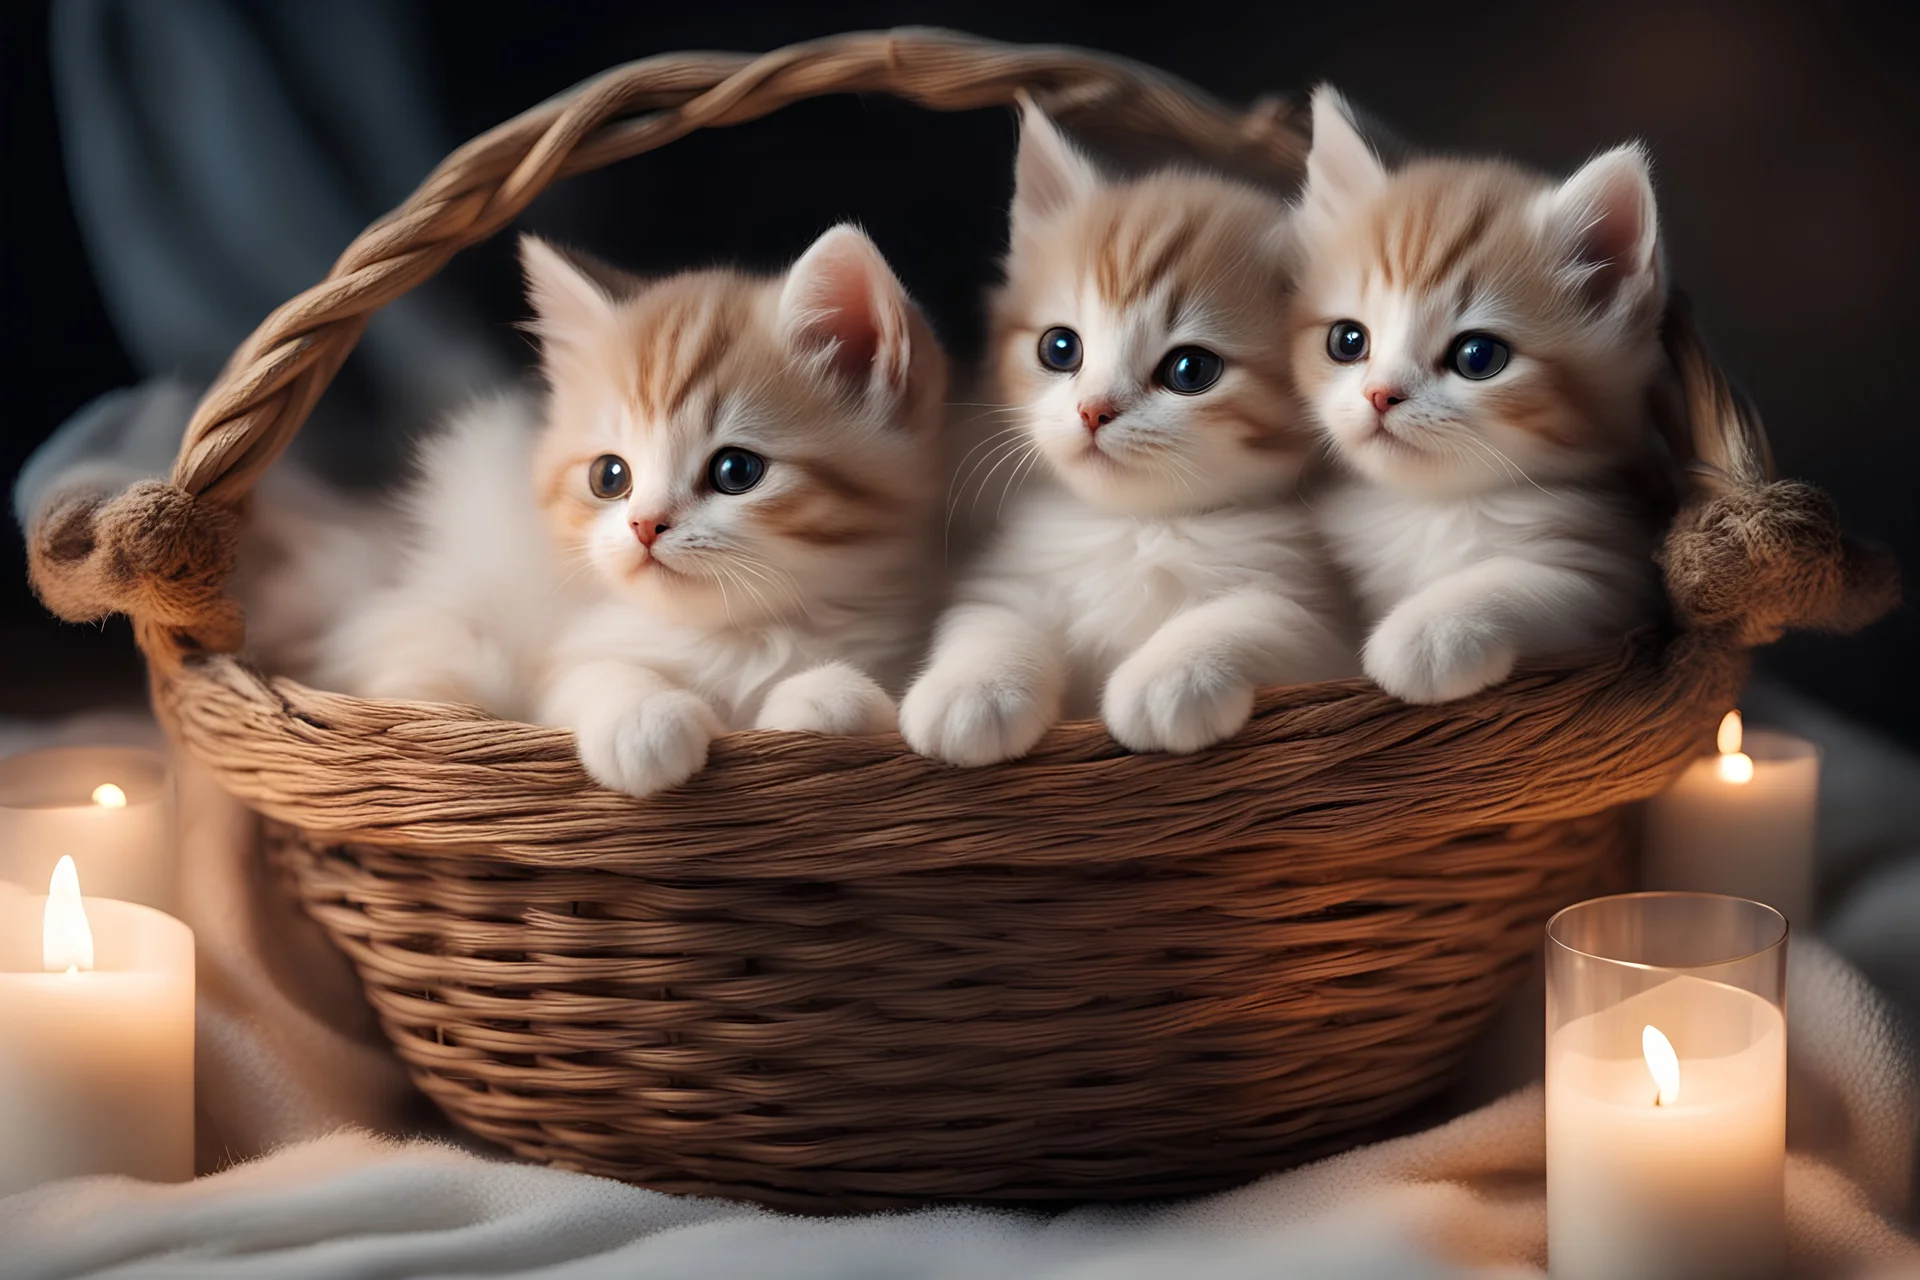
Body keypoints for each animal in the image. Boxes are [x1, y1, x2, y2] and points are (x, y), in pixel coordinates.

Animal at [324, 225, 952, 794]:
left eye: (736, 471)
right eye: (610, 476)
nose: (644, 524)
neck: (733, 638)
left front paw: (824, 697)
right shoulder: (565, 660)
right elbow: (593, 673)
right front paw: (643, 721)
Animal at [894, 100, 1351, 767]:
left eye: (1190, 371)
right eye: (1060, 348)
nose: (1092, 410)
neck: (1134, 527)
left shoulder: (1319, 616)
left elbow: (1258, 614)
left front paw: (1169, 678)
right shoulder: (1009, 576)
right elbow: (989, 620)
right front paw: (971, 690)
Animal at [1290, 87, 1666, 710]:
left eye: (1477, 357)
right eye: (1347, 341)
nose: (1379, 394)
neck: (1428, 508)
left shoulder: (1618, 583)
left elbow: (1538, 582)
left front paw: (1424, 636)